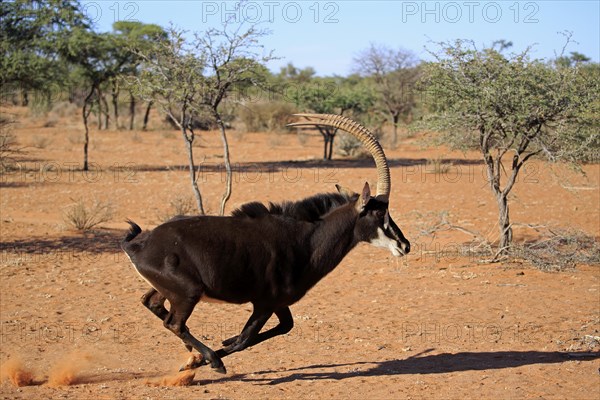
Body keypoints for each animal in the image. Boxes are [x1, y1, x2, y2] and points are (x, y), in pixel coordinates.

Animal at [122, 114, 412, 374]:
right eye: (379, 212)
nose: (405, 245)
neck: (305, 240)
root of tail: (139, 245)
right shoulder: (263, 303)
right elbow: (244, 339)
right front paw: (207, 359)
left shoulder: (278, 303)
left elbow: (281, 328)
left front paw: (204, 354)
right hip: (188, 294)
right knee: (174, 324)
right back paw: (211, 359)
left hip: (170, 291)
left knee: (152, 303)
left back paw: (194, 352)